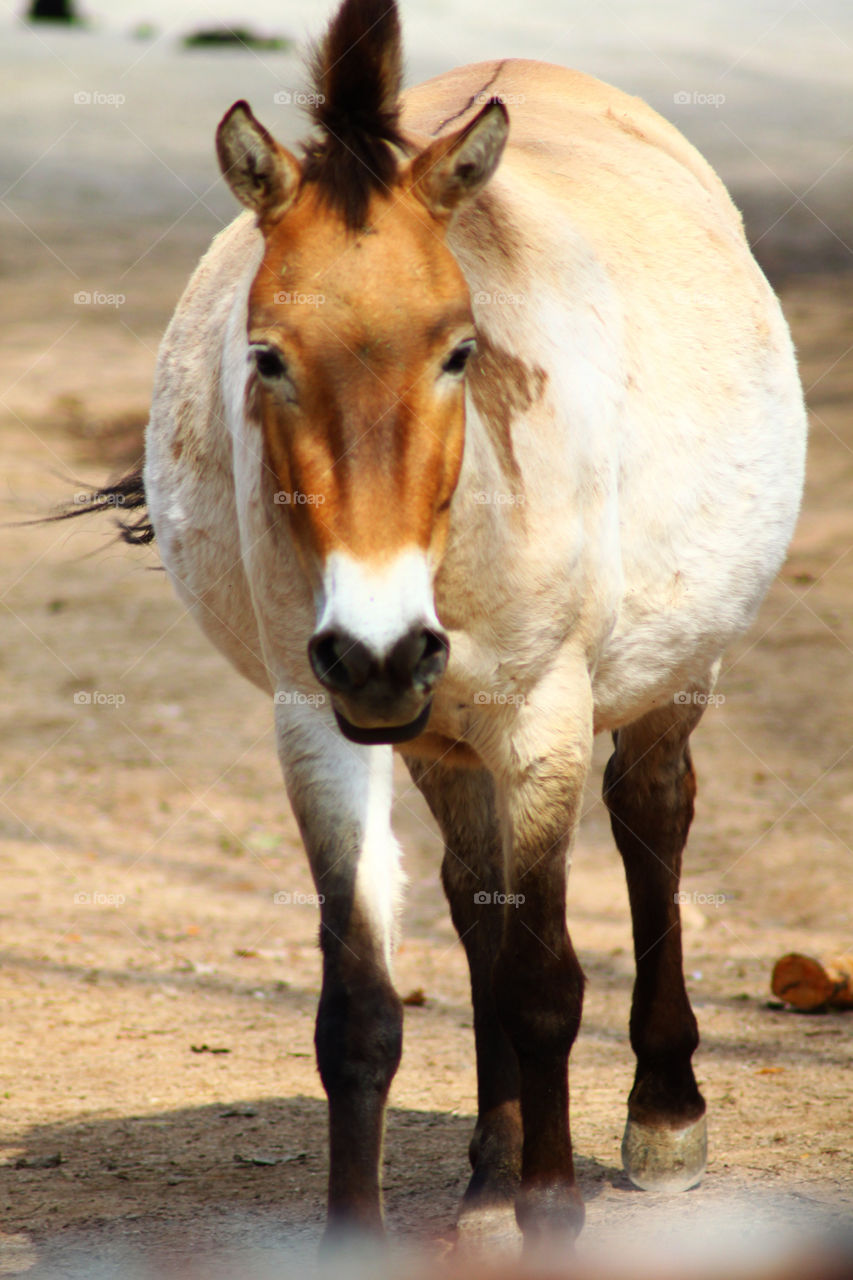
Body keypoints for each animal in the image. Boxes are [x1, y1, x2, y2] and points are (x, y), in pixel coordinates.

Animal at [60, 0, 806, 1249]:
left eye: (460, 349)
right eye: (266, 357)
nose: (381, 647)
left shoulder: (544, 719)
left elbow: (549, 981)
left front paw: (555, 1208)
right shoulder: (322, 722)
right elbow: (364, 1004)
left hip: (668, 675)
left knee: (651, 820)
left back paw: (660, 1115)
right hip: (438, 734)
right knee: (474, 896)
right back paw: (488, 1174)